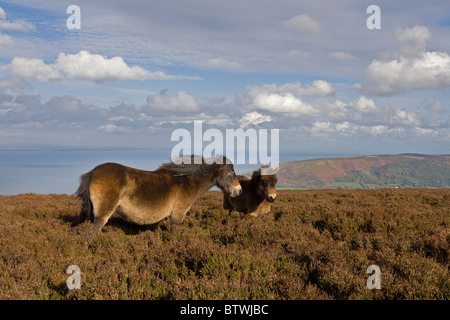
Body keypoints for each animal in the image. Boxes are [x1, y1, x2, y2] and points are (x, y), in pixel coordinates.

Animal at [71, 155, 241, 238]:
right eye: (231, 173)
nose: (239, 191)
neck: (186, 181)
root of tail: (93, 173)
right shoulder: (177, 215)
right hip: (102, 215)